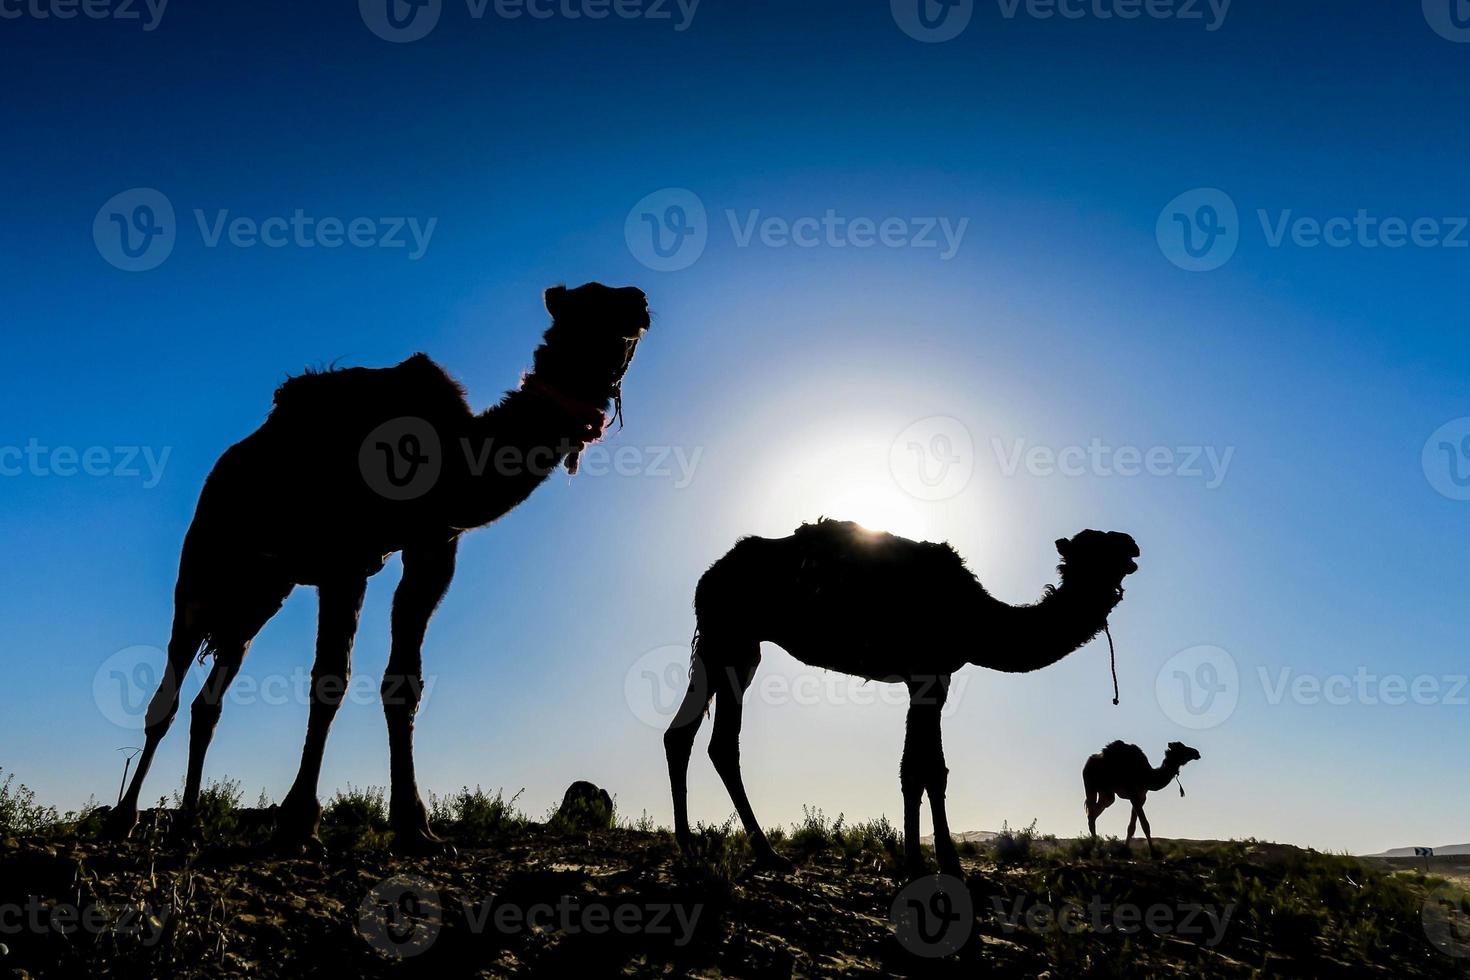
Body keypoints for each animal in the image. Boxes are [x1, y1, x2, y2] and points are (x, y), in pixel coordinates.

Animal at [103, 282, 649, 852]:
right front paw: (299, 823)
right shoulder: (345, 557)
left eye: (625, 320)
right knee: (167, 690)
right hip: (200, 572)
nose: (638, 302)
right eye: (584, 308)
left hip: (261, 594)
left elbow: (403, 681)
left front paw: (417, 827)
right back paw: (124, 820)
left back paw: (188, 827)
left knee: (208, 702)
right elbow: (329, 681)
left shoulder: (432, 548)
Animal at [664, 520, 1134, 875]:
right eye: (1095, 546)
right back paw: (761, 852)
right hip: (731, 636)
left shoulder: (928, 678)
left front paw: (928, 860)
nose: (1133, 545)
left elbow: (923, 769)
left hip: (731, 644)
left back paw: (692, 845)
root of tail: (708, 577)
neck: (977, 617)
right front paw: (933, 863)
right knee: (718, 742)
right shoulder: (929, 673)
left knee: (687, 736)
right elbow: (924, 769)